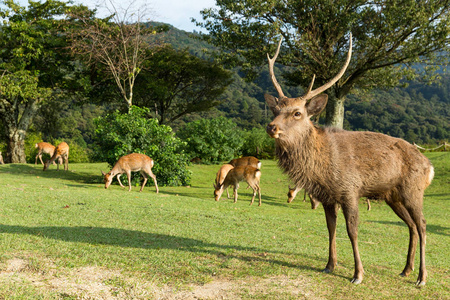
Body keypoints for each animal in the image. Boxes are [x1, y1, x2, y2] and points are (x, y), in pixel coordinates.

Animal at [266, 35, 434, 286]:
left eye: (297, 113)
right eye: (275, 109)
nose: (272, 127)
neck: (321, 168)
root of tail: (429, 165)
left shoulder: (350, 190)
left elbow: (352, 231)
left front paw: (358, 274)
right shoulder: (326, 196)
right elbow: (330, 228)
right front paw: (329, 265)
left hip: (413, 190)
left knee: (422, 225)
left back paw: (421, 277)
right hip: (392, 196)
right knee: (412, 225)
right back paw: (406, 270)